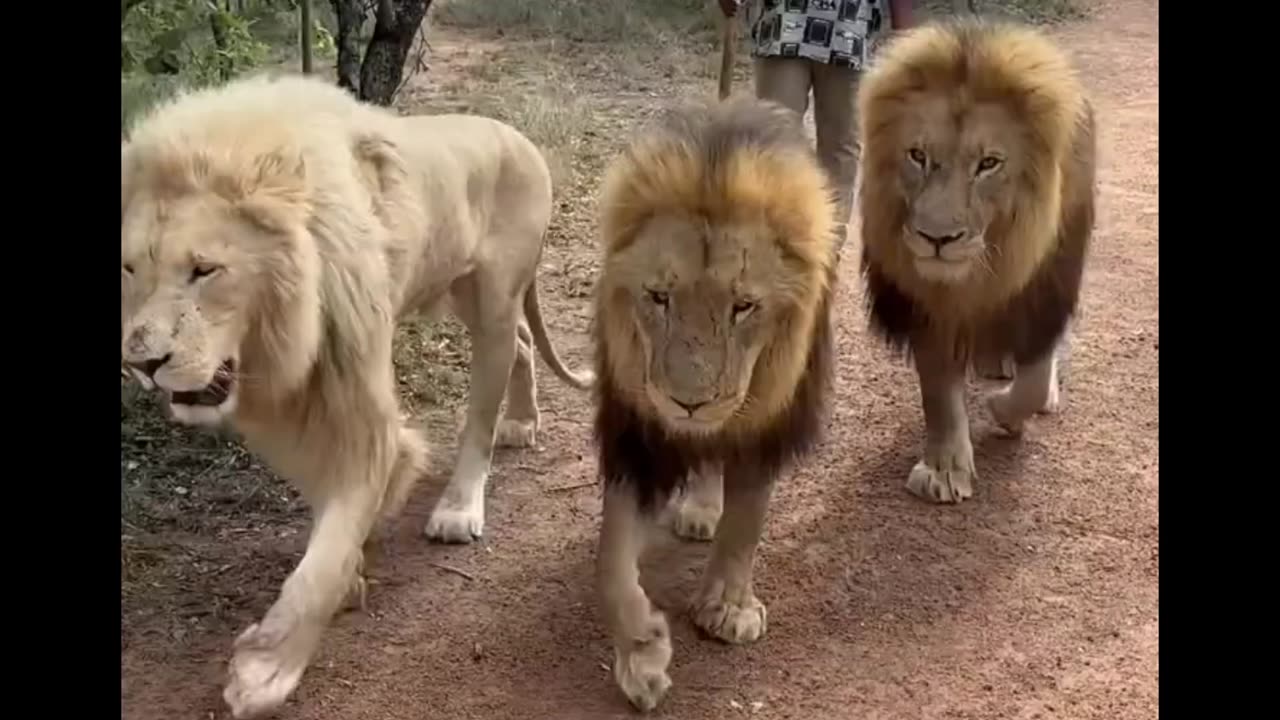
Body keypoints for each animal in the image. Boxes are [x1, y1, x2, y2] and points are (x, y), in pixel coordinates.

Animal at [591, 96, 839, 712]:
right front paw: (643, 653)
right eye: (659, 296)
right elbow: (611, 560)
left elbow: (747, 516)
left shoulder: (767, 420)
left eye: (743, 306)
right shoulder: (637, 434)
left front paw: (727, 606)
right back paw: (701, 507)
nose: (689, 403)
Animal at [855, 19, 1095, 502]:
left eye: (988, 163)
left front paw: (1004, 410)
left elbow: (1034, 381)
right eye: (918, 155)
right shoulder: (925, 305)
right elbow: (938, 389)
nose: (937, 239)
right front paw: (945, 469)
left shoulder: (1045, 293)